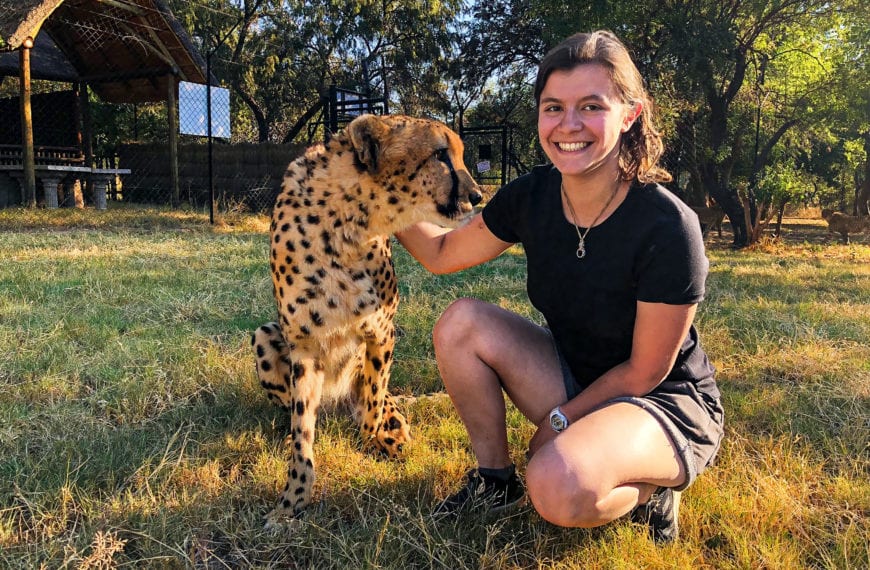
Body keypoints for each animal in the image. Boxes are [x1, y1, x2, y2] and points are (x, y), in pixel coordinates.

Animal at [251, 114, 482, 526]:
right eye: (441, 154)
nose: (478, 196)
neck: (347, 222)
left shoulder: (381, 332)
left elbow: (373, 394)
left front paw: (374, 436)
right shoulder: (303, 346)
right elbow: (303, 432)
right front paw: (292, 501)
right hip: (264, 336)